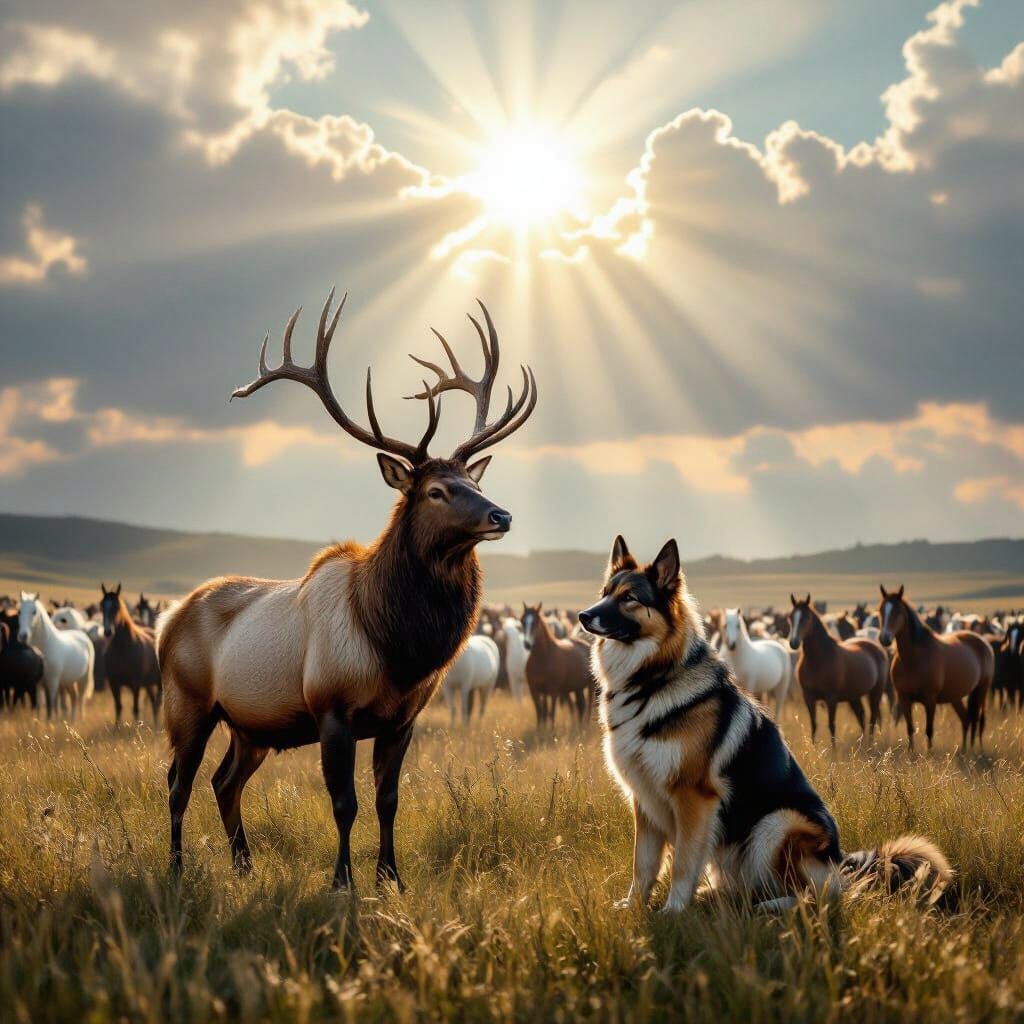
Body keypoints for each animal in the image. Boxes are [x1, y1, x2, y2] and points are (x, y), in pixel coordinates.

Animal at [100, 584, 162, 724]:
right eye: (102, 606)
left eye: (116, 606)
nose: (108, 631)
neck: (123, 649)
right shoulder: (114, 683)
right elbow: (118, 707)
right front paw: (117, 727)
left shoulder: (136, 684)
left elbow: (135, 709)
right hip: (148, 683)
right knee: (153, 702)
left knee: (157, 704)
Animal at [158, 287, 537, 890]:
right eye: (435, 490)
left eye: (472, 480)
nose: (500, 514)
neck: (397, 645)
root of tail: (166, 621)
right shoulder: (331, 709)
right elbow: (344, 803)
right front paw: (343, 882)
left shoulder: (402, 720)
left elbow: (388, 801)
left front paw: (390, 878)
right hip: (187, 703)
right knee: (178, 781)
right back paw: (175, 867)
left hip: (251, 725)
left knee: (224, 781)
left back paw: (244, 865)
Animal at [788, 594, 888, 744]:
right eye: (790, 617)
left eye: (806, 617)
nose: (793, 642)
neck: (818, 659)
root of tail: (877, 648)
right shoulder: (809, 697)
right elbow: (814, 724)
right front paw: (813, 746)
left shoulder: (831, 698)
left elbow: (831, 725)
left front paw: (833, 748)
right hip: (854, 697)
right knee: (862, 716)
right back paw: (862, 743)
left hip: (875, 692)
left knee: (872, 717)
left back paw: (870, 743)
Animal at [878, 585, 993, 751]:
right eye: (880, 610)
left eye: (898, 611)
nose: (884, 638)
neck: (913, 660)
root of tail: (983, 642)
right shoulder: (904, 698)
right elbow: (910, 729)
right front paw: (911, 753)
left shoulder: (930, 700)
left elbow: (929, 730)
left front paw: (929, 753)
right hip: (956, 697)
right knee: (966, 719)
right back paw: (964, 750)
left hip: (981, 690)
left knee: (978, 720)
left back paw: (973, 749)